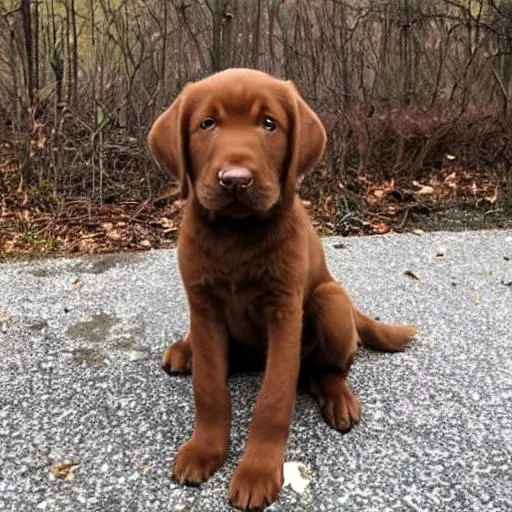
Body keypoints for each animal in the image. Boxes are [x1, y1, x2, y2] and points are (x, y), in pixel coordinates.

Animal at [147, 69, 416, 512]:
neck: (237, 235)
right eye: (208, 124)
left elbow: (274, 398)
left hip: (330, 301)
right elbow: (209, 388)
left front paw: (257, 472)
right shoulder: (203, 308)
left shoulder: (284, 312)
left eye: (269, 124)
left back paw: (338, 398)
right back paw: (183, 350)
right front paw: (205, 450)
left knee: (328, 368)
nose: (234, 180)